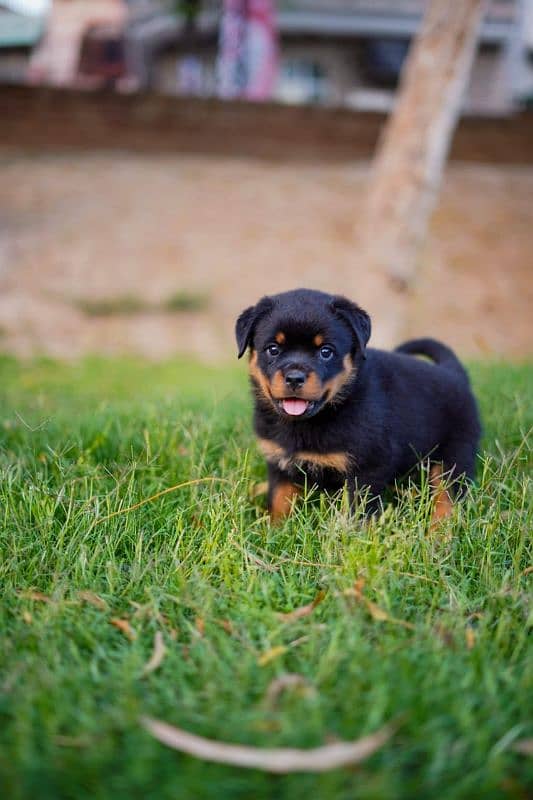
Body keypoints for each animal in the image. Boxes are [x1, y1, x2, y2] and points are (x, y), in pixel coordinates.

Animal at [235, 290, 480, 524]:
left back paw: (439, 533)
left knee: (447, 498)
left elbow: (358, 514)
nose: (295, 378)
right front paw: (273, 532)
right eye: (273, 349)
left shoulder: (366, 469)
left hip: (454, 457)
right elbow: (278, 502)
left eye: (326, 351)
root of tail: (454, 373)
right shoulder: (279, 464)